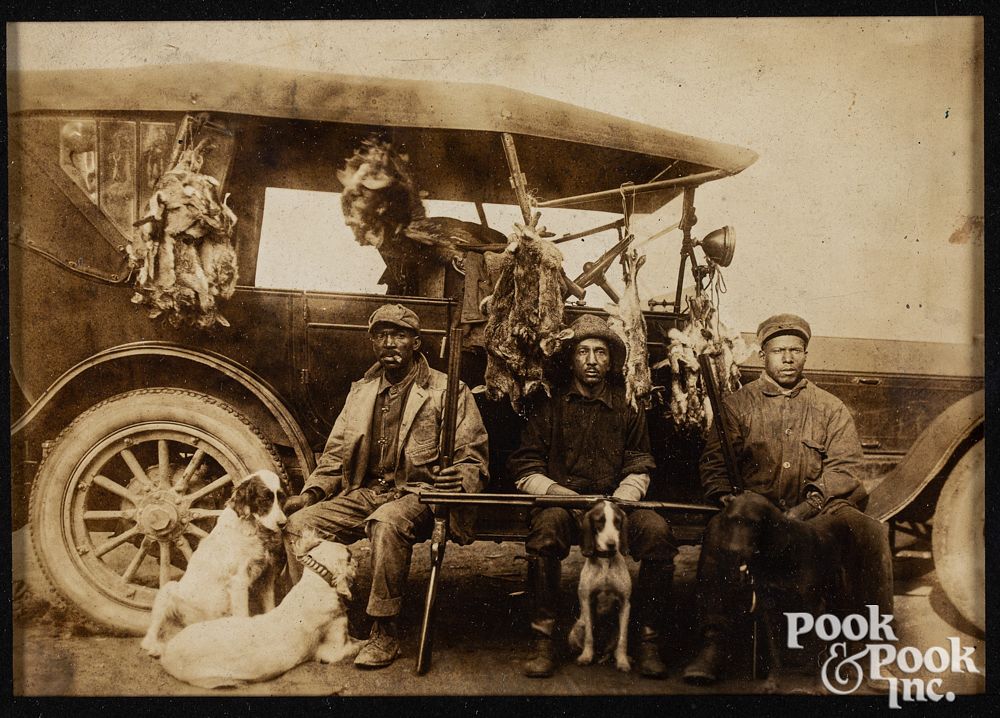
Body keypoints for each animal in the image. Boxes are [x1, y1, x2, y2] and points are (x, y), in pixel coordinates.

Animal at [138, 470, 286, 660]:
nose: (283, 524)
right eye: (264, 499)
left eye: (281, 498)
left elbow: (270, 608)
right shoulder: (239, 582)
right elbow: (243, 615)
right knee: (149, 637)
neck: (253, 528)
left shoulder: (266, 578)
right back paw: (155, 648)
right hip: (168, 589)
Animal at [156, 544, 360, 688]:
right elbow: (354, 646)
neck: (317, 583)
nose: (357, 561)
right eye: (349, 556)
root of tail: (166, 652)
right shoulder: (334, 650)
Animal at [572, 500, 632, 676]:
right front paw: (586, 656)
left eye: (617, 521)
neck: (606, 562)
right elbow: (589, 637)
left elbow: (623, 640)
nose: (612, 545)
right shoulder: (586, 600)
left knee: (612, 649)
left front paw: (623, 661)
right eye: (600, 521)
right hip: (578, 627)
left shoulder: (625, 604)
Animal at [712, 492, 844, 688]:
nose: (731, 551)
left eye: (753, 523)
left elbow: (815, 646)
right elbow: (774, 650)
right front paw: (773, 681)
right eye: (730, 520)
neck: (779, 558)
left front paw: (819, 685)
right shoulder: (769, 608)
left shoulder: (814, 607)